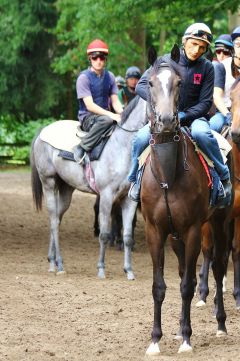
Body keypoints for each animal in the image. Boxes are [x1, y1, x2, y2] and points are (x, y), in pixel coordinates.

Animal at [30, 95, 146, 278]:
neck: (122, 146)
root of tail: (43, 131)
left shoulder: (129, 199)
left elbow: (128, 235)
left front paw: (129, 270)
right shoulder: (106, 196)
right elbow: (104, 234)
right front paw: (101, 269)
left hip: (66, 189)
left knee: (57, 219)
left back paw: (52, 261)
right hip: (48, 182)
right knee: (54, 221)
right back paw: (59, 264)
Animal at [142, 45, 233, 354]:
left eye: (179, 83)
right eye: (150, 83)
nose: (168, 120)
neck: (168, 175)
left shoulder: (194, 229)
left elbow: (187, 286)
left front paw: (185, 338)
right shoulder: (156, 231)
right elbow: (159, 286)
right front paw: (155, 339)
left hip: (219, 222)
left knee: (217, 266)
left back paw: (220, 324)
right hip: (176, 236)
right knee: (186, 270)